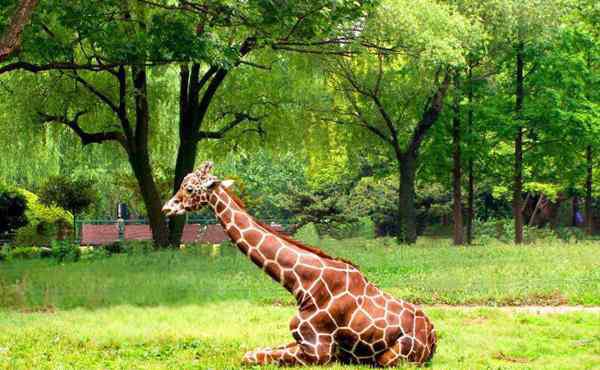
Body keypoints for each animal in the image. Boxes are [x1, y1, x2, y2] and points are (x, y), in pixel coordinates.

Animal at [163, 162, 436, 368]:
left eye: (189, 188)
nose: (167, 208)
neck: (301, 284)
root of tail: (433, 339)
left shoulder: (318, 352)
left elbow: (249, 356)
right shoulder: (299, 341)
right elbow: (253, 352)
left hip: (393, 357)